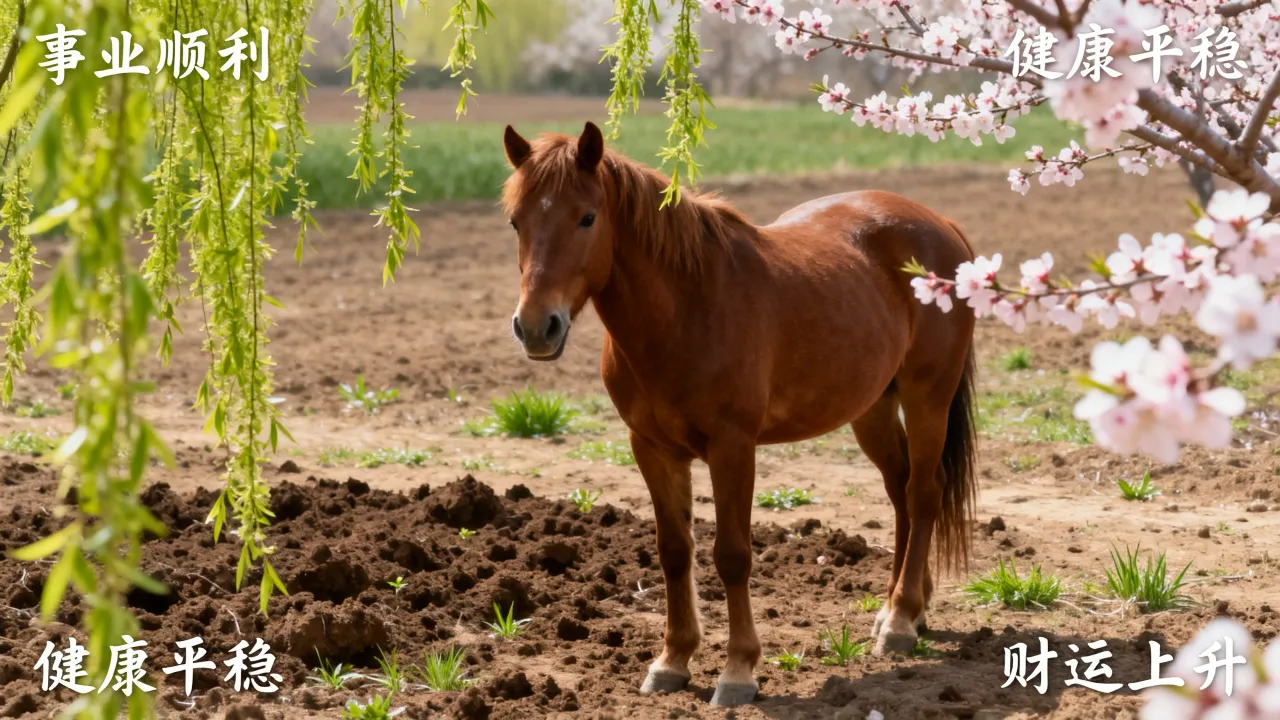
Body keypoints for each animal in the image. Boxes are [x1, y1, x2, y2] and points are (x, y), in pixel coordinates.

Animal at [500, 121, 978, 707]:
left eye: (587, 217)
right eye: (516, 220)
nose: (535, 327)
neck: (685, 309)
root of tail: (941, 225)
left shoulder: (733, 447)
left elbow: (731, 555)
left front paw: (738, 672)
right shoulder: (652, 448)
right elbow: (674, 551)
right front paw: (672, 660)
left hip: (927, 394)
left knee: (923, 493)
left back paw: (902, 621)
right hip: (872, 407)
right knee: (900, 493)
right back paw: (899, 608)